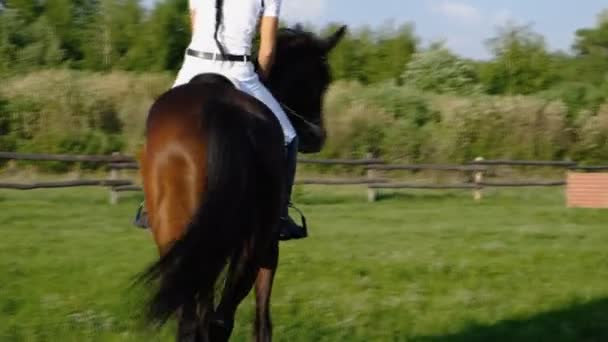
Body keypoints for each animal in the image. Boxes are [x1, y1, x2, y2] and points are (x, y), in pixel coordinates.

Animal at [138, 25, 346, 340]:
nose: (316, 136)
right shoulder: (269, 249)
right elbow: (262, 320)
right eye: (322, 80)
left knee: (193, 320)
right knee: (220, 320)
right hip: (252, 240)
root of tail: (217, 107)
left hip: (179, 234)